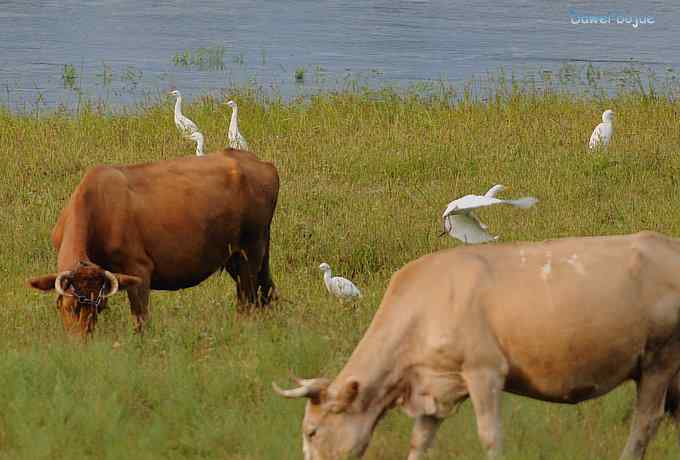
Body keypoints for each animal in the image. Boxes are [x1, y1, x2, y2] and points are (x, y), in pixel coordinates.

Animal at [26, 149, 276, 336]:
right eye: (67, 306)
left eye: (101, 306)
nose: (81, 343)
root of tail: (255, 160)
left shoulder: (139, 270)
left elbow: (141, 321)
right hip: (237, 256)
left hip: (251, 250)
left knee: (248, 299)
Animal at [274, 234, 680, 460]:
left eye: (312, 432)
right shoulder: (433, 385)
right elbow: (419, 442)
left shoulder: (484, 372)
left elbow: (490, 436)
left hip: (660, 359)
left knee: (645, 421)